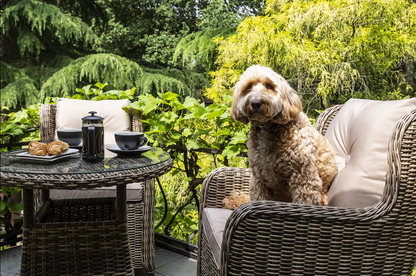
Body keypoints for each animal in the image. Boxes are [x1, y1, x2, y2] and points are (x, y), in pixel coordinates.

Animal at [223, 66, 336, 209]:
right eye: (248, 87)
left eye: (269, 86)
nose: (255, 103)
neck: (267, 126)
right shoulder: (259, 178)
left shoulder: (304, 176)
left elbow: (305, 200)